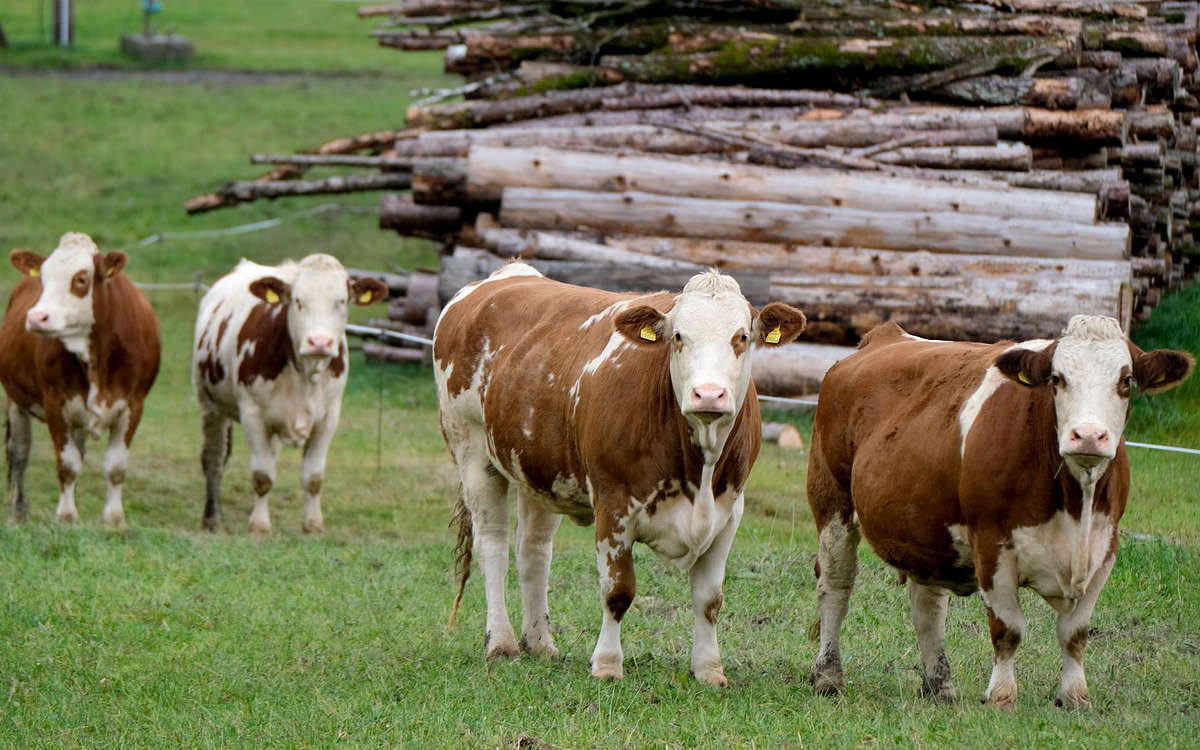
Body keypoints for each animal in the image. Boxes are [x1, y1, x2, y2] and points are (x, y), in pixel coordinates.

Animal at [0, 232, 162, 525]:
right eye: (42, 278)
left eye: (81, 279)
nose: (37, 318)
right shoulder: (55, 404)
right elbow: (68, 464)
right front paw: (66, 515)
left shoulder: (133, 405)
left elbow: (116, 466)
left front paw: (114, 519)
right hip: (16, 401)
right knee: (19, 454)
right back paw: (17, 513)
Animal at [192, 254, 386, 535]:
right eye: (297, 300)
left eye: (341, 300)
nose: (319, 342)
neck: (305, 374)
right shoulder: (252, 414)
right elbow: (262, 475)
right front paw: (259, 526)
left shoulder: (329, 417)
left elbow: (313, 477)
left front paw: (313, 525)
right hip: (210, 405)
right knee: (214, 459)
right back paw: (211, 518)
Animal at [434, 262, 806, 686]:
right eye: (678, 336)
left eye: (742, 336)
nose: (708, 395)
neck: (699, 469)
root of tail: (509, 273)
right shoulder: (614, 506)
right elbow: (618, 591)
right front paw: (608, 664)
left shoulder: (730, 512)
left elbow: (710, 599)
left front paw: (709, 669)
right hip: (472, 452)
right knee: (492, 546)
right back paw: (501, 642)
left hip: (537, 469)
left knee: (533, 549)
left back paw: (540, 642)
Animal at [806, 314, 1190, 705]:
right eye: (1057, 379)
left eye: (1125, 381)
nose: (1088, 435)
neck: (1074, 506)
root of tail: (885, 335)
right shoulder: (992, 545)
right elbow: (1008, 629)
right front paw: (1002, 697)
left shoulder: (1105, 548)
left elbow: (1075, 633)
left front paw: (1075, 696)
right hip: (832, 501)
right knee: (835, 586)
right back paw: (828, 677)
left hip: (927, 526)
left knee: (927, 605)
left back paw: (939, 687)